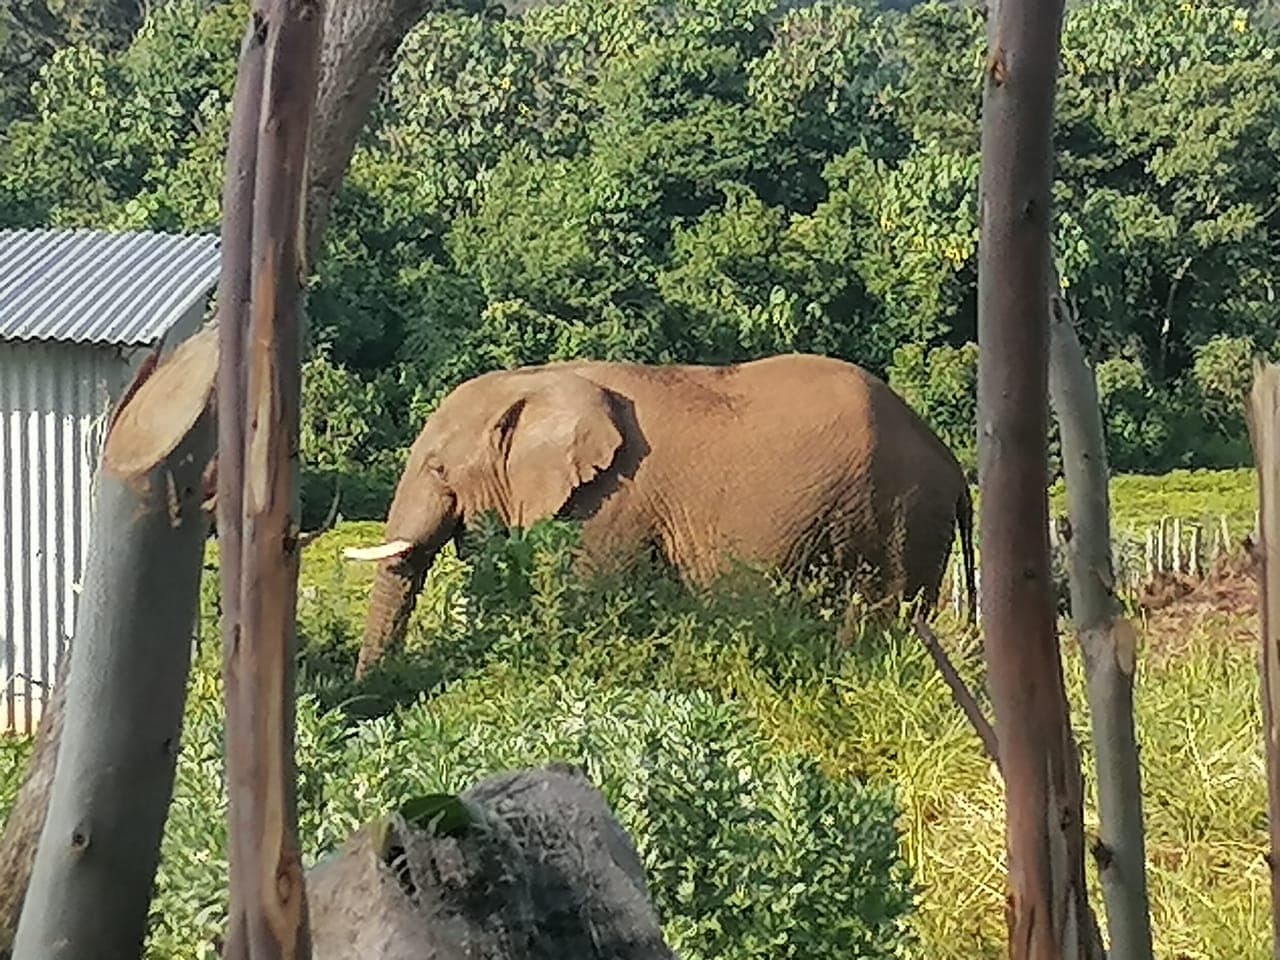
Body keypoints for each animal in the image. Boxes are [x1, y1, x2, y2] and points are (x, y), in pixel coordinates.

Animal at [344, 353, 976, 678]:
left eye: (437, 469)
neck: (536, 380)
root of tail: (951, 465)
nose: (379, 690)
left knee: (881, 611)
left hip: (901, 515)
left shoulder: (608, 502)